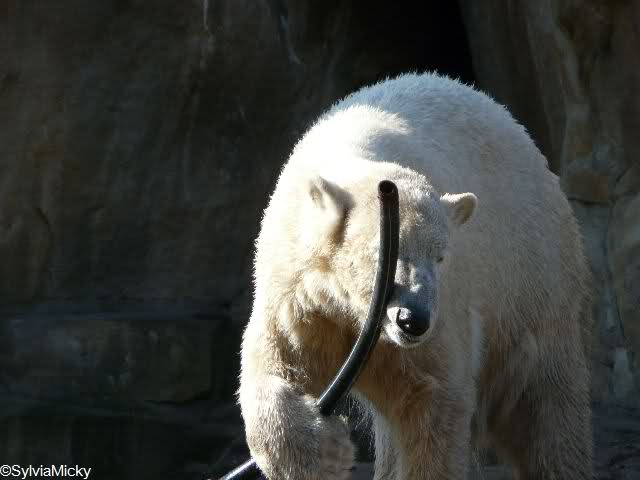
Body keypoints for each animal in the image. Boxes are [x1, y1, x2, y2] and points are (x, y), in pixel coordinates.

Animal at [238, 72, 593, 479]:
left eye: (440, 257)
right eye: (385, 253)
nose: (414, 321)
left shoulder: (442, 314)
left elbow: (432, 399)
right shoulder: (300, 288)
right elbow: (277, 361)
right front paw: (327, 451)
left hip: (531, 280)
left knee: (545, 404)